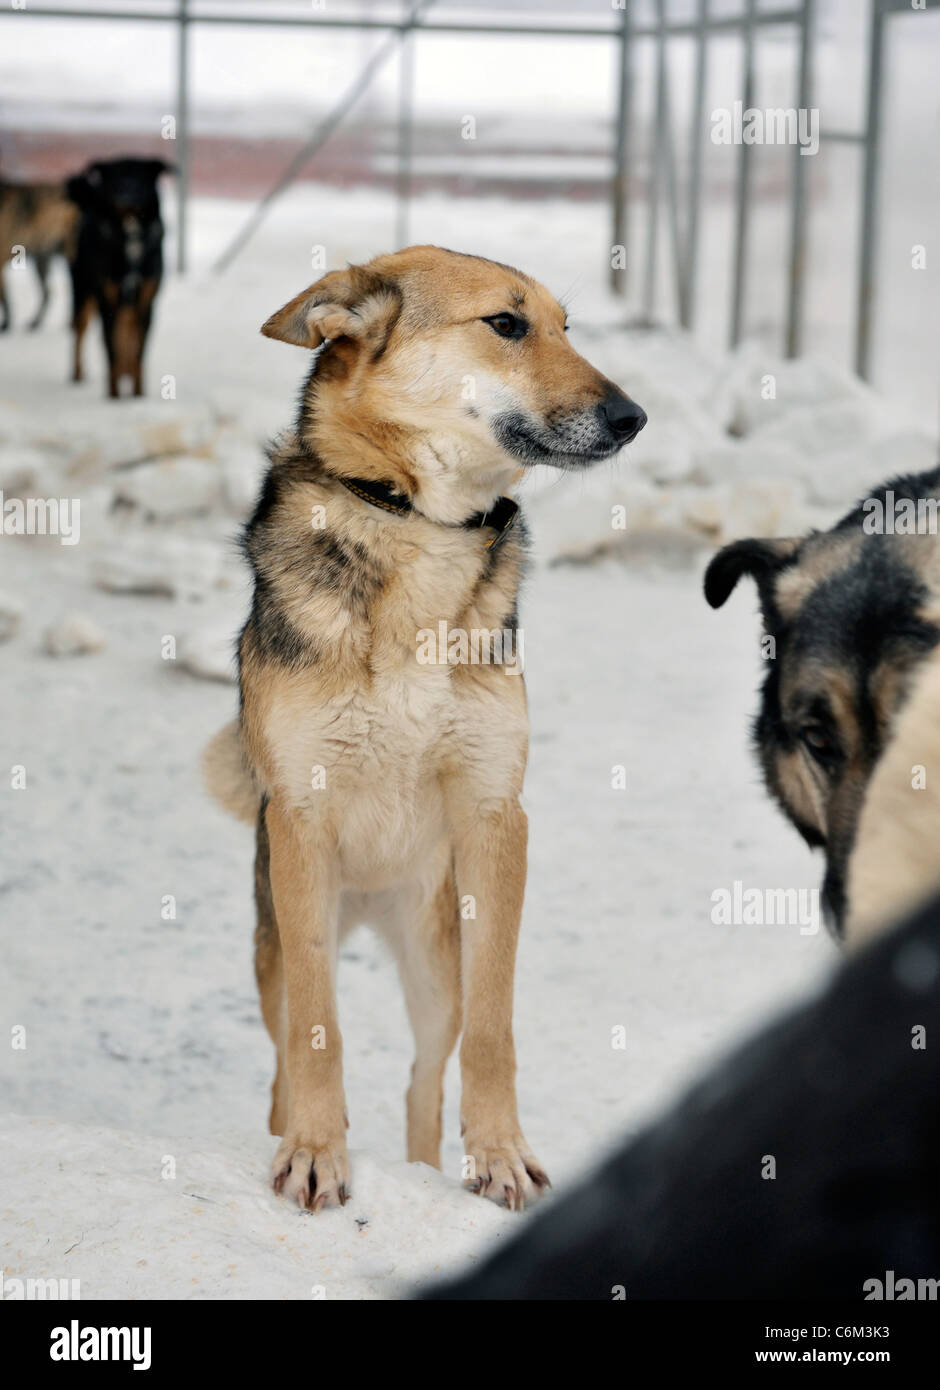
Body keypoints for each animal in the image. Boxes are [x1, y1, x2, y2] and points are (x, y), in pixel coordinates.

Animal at [205, 247, 645, 1206]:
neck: (418, 529)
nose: (633, 418)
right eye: (506, 324)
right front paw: (314, 1152)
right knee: (287, 1054)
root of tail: (371, 901)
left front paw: (502, 1154)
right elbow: (319, 1036)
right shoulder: (301, 824)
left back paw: (427, 1168)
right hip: (282, 942)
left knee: (423, 1076)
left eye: (567, 327)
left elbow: (492, 1030)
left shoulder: (494, 815)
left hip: (435, 951)